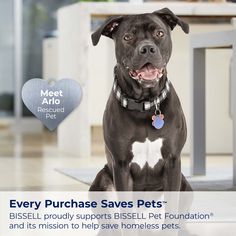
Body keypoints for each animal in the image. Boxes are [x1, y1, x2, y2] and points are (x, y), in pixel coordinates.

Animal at [90, 7, 192, 192]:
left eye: (159, 33)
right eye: (127, 37)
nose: (147, 49)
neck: (145, 103)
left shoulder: (173, 161)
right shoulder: (121, 165)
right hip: (102, 179)